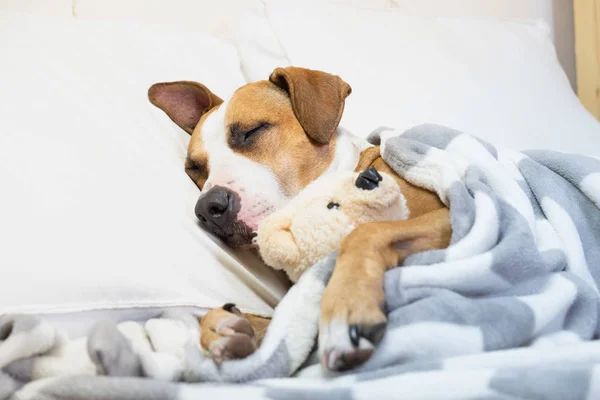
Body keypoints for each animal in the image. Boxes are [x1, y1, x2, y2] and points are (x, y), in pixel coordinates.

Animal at [149, 66, 450, 372]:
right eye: (194, 169)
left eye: (251, 131)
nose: (208, 207)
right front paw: (226, 328)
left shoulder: (447, 215)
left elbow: (364, 234)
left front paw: (346, 307)